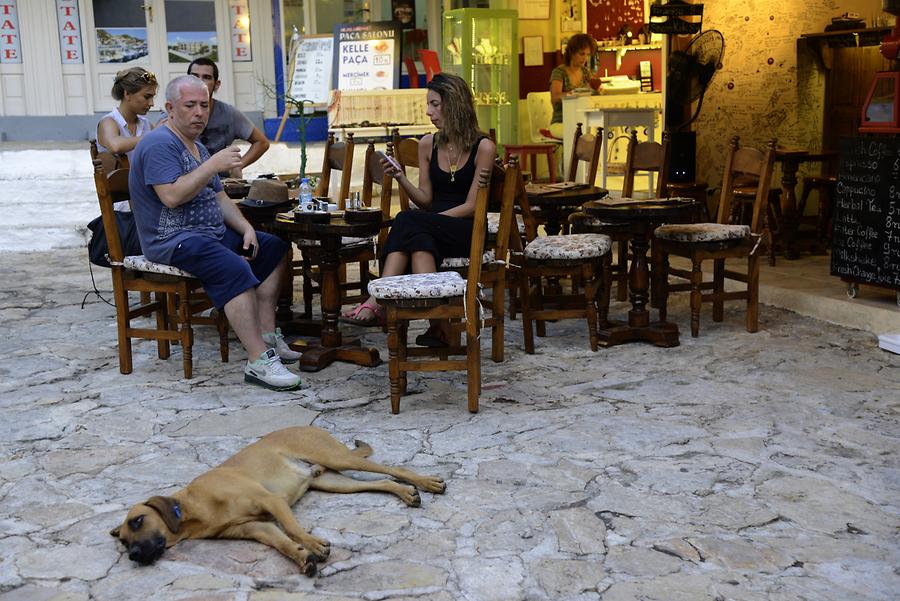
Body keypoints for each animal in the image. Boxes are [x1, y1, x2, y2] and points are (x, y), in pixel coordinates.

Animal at [110, 424, 446, 576]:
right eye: (124, 542)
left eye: (138, 520)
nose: (133, 555)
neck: (193, 510)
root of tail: (308, 425)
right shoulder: (256, 528)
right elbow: (282, 542)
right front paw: (302, 556)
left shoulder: (271, 501)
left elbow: (294, 530)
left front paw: (313, 544)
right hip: (332, 481)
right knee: (383, 481)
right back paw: (405, 493)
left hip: (337, 458)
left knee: (393, 469)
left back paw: (425, 482)